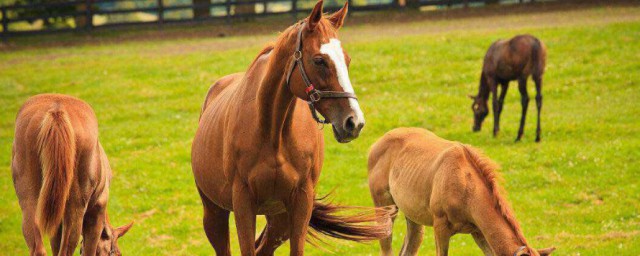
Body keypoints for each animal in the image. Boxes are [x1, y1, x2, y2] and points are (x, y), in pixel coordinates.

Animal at [12, 94, 132, 256]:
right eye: (115, 252)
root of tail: (56, 111)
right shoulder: (97, 209)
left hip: (29, 196)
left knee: (37, 246)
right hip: (76, 204)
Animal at [190, 1, 390, 255]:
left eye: (347, 60)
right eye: (319, 60)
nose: (354, 122)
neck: (273, 132)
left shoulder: (301, 201)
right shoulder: (243, 203)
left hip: (279, 220)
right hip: (214, 213)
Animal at [370, 128, 556, 256]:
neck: (467, 187)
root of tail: (376, 144)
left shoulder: (479, 232)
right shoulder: (440, 227)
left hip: (413, 217)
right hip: (384, 210)